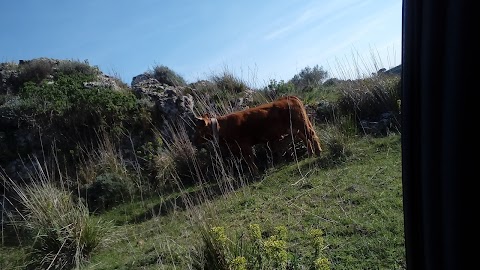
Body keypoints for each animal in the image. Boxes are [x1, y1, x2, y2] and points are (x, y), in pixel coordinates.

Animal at [194, 96, 322, 174]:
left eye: (198, 128)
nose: (193, 140)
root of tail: (289, 97)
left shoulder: (244, 145)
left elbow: (250, 159)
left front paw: (255, 172)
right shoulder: (239, 148)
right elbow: (247, 160)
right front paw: (252, 172)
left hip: (301, 124)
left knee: (311, 135)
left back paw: (318, 152)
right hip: (295, 128)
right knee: (305, 138)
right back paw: (310, 153)